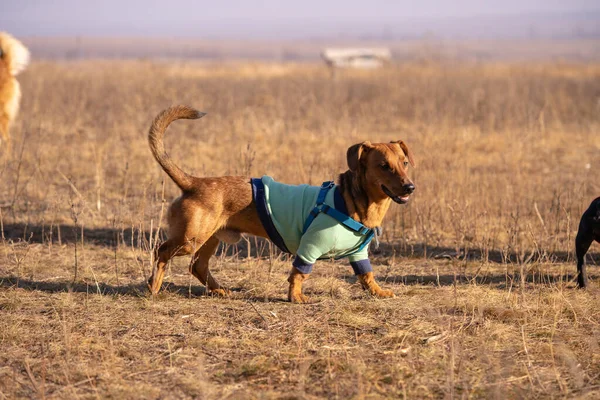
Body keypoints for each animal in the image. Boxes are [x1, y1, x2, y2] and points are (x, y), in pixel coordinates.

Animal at [148, 104, 414, 302]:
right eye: (383, 166)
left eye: (404, 163)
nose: (410, 187)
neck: (350, 201)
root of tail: (193, 182)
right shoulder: (309, 247)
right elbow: (299, 273)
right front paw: (295, 297)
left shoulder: (359, 254)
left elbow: (367, 274)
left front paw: (378, 292)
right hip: (190, 239)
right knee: (161, 251)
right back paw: (154, 286)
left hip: (210, 238)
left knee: (198, 266)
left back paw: (218, 290)